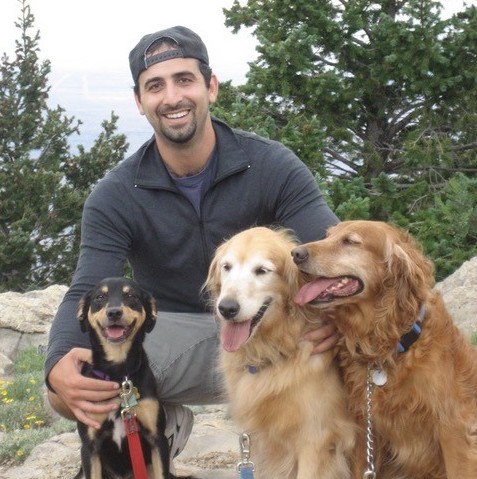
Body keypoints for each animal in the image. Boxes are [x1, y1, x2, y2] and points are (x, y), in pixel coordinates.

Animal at [75, 278, 193, 479]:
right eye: (100, 297)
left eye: (131, 296)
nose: (114, 312)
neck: (119, 375)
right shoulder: (89, 447)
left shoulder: (157, 439)